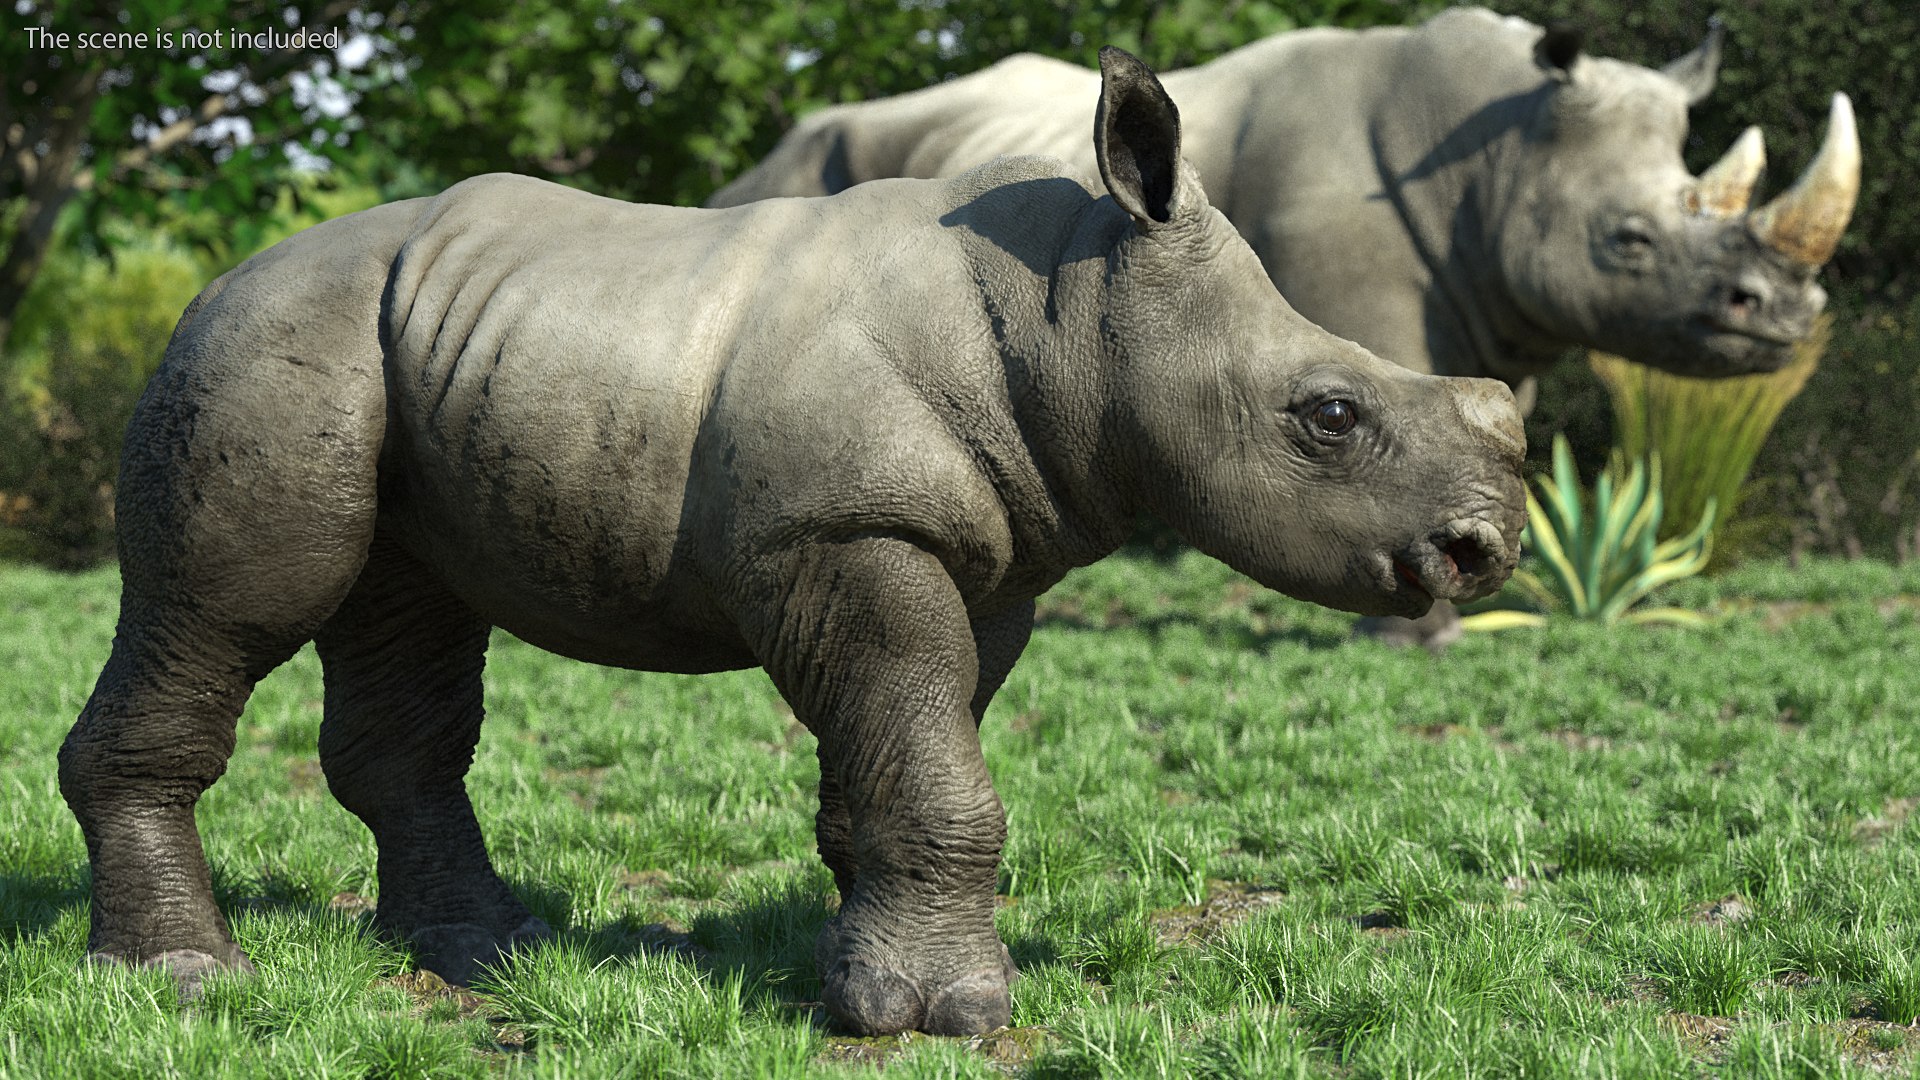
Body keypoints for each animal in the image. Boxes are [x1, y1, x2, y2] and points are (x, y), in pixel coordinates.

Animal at [59, 50, 1526, 1037]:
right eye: (1328, 416)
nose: (1485, 551)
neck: (1073, 314)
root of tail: (217, 277)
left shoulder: (981, 560)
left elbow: (898, 754)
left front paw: (855, 978)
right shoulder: (844, 526)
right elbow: (936, 769)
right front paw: (948, 1013)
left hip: (402, 351)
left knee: (406, 615)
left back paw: (481, 950)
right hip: (263, 349)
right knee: (239, 602)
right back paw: (185, 982)